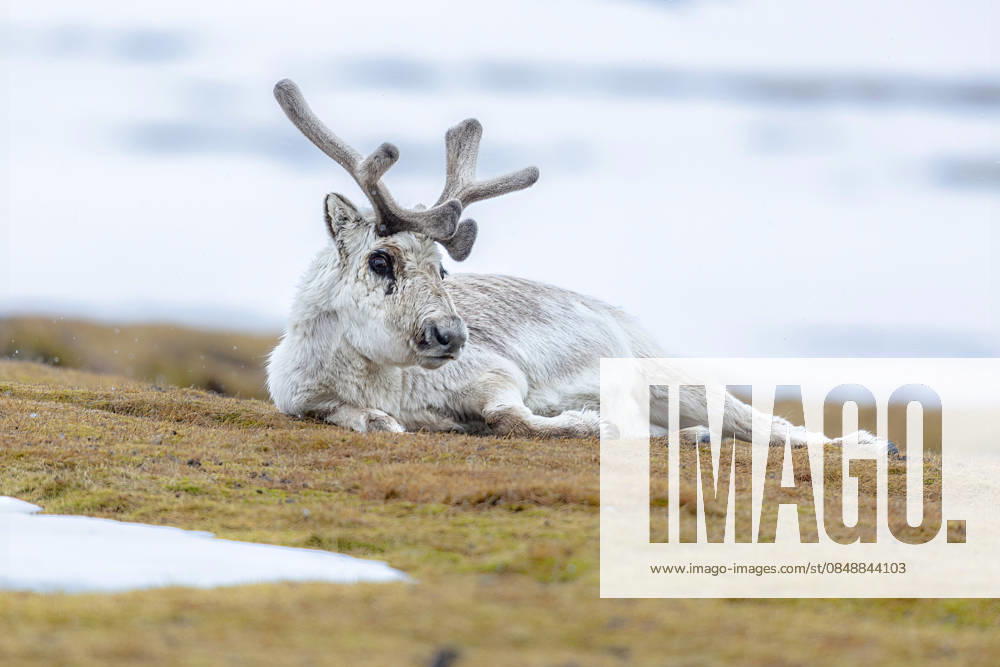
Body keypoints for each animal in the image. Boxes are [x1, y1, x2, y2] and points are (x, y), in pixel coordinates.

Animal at [266, 79, 892, 452]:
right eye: (380, 260)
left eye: (443, 270)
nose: (451, 334)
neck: (379, 379)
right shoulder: (302, 401)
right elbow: (363, 420)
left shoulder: (498, 376)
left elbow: (512, 418)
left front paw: (589, 422)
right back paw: (693, 439)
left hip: (671, 376)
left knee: (766, 423)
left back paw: (865, 445)